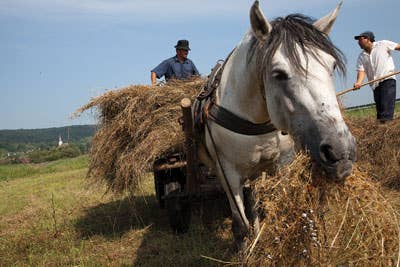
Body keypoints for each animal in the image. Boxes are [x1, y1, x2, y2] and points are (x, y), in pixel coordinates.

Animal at [195, 0, 354, 247]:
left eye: (332, 66)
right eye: (278, 74)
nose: (340, 151)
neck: (255, 124)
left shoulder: (282, 164)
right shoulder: (227, 172)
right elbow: (239, 224)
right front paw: (244, 246)